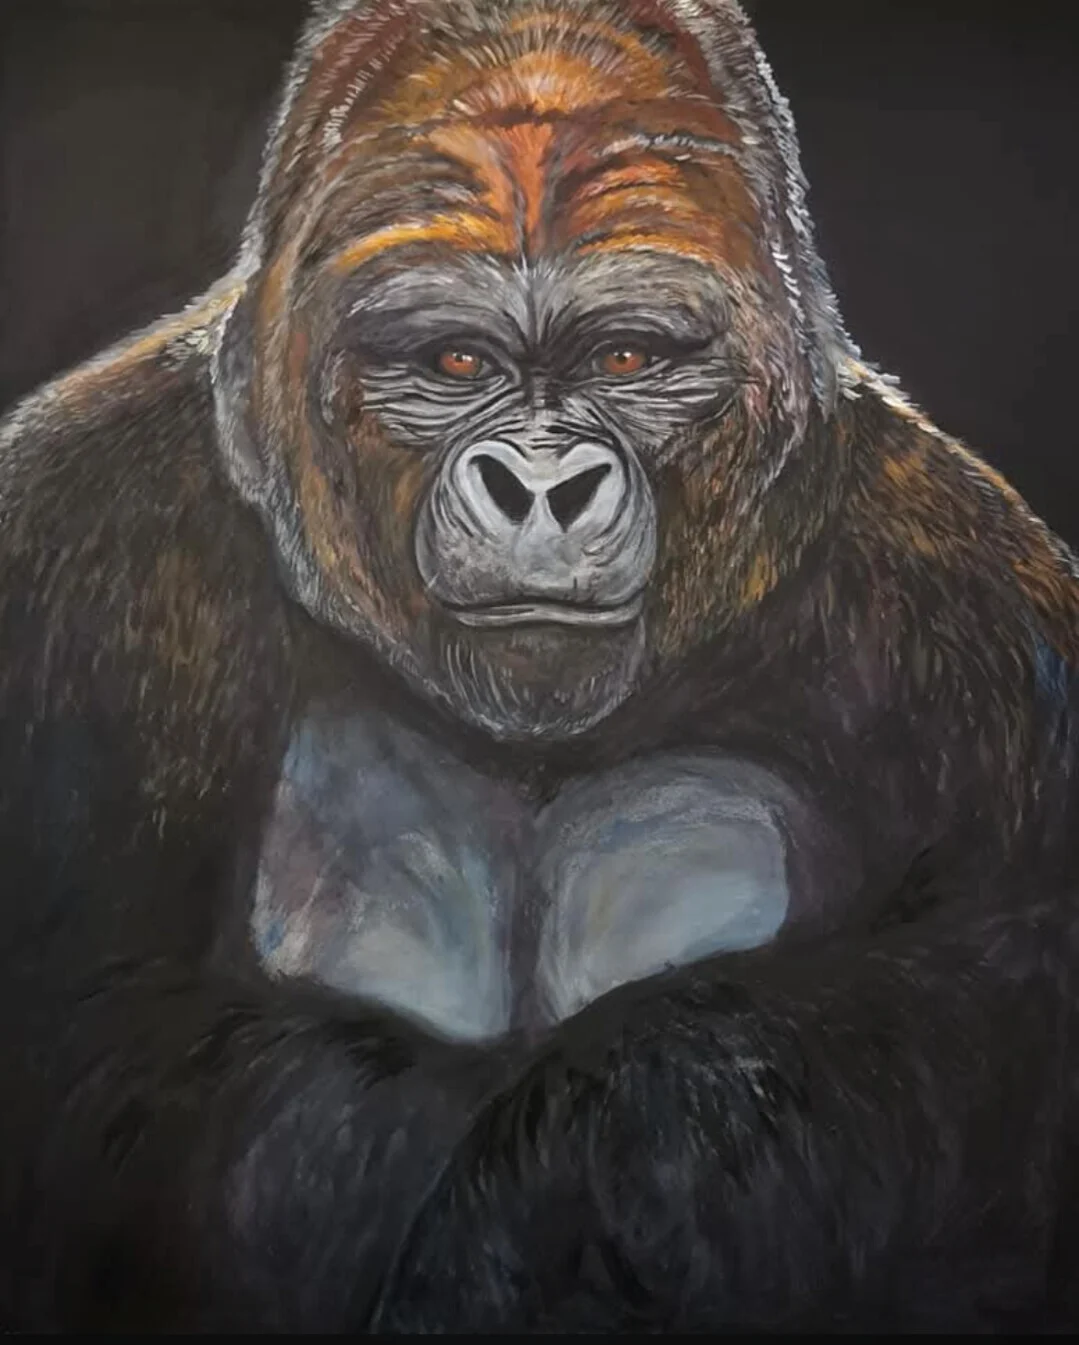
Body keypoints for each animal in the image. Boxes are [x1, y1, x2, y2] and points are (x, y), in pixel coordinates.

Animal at [0, 0, 1078, 1332]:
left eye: (625, 359)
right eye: (455, 364)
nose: (540, 487)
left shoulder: (978, 613)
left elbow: (986, 1016)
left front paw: (599, 1158)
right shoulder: (71, 551)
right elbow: (99, 1054)